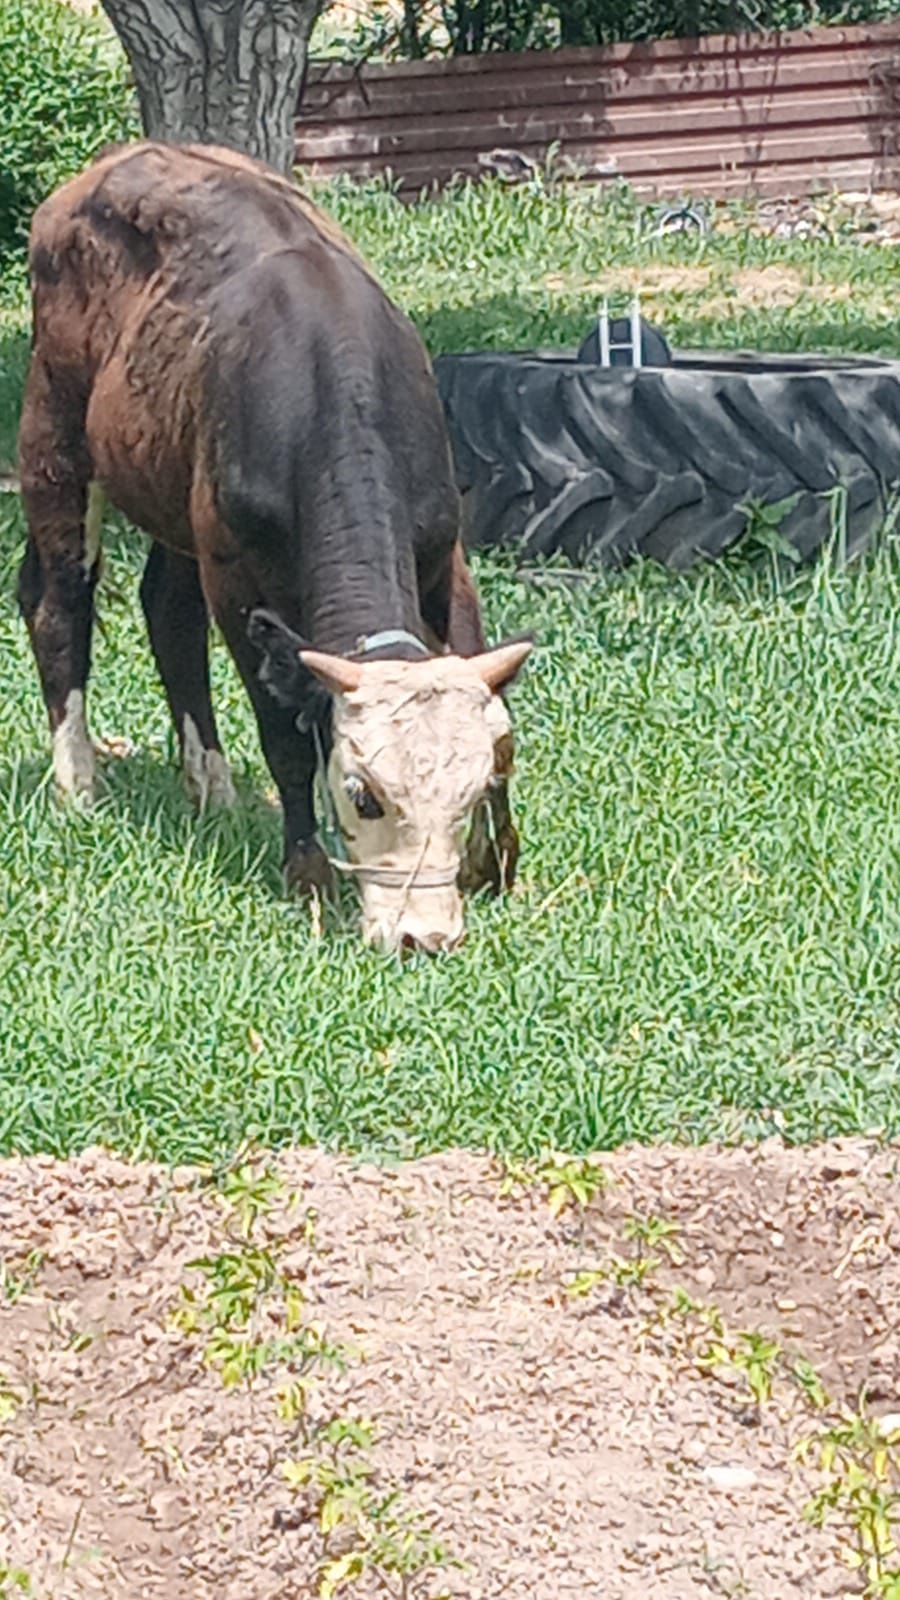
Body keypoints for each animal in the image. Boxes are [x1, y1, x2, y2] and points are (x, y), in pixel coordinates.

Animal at [17, 140, 528, 947]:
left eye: (470, 788)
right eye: (363, 793)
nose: (422, 937)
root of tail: (110, 163)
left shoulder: (444, 550)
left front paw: (496, 863)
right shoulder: (236, 577)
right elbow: (282, 735)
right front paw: (308, 873)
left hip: (175, 494)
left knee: (167, 612)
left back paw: (211, 785)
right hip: (55, 438)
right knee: (60, 607)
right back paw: (80, 782)